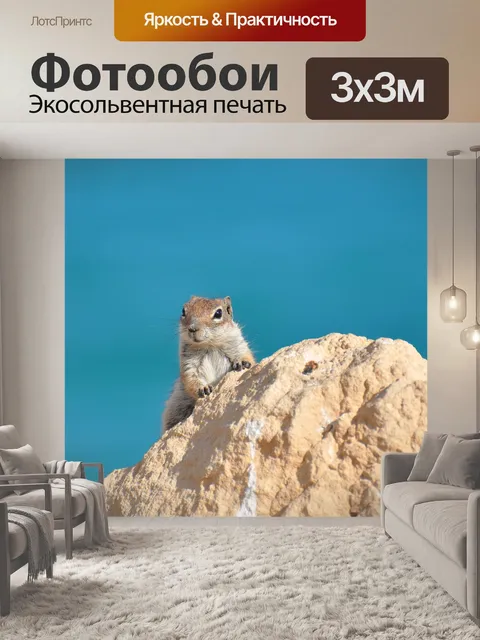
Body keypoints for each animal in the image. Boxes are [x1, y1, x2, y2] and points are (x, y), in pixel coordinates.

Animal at [162, 295, 255, 433]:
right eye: (183, 311)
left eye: (218, 313)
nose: (192, 329)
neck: (209, 345)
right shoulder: (188, 364)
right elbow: (190, 379)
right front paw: (203, 388)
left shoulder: (238, 345)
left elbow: (247, 357)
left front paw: (242, 363)